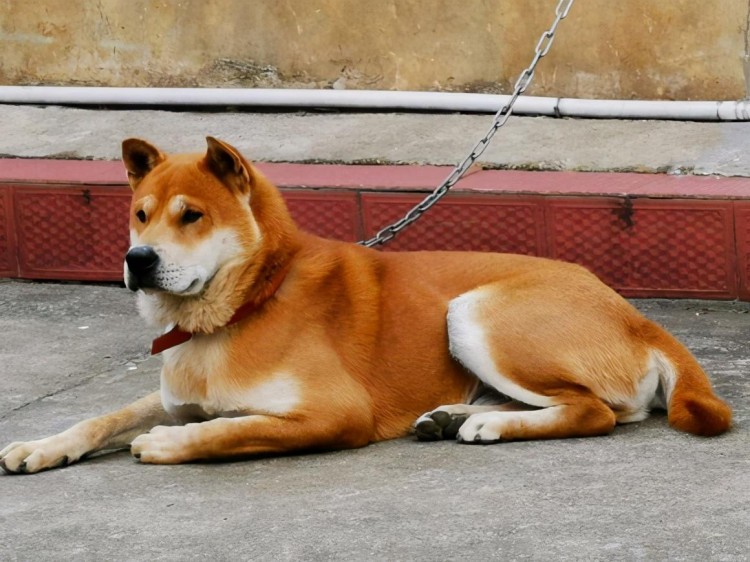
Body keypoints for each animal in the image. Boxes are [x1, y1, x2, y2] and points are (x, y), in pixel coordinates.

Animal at [0, 137, 732, 472]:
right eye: (140, 215)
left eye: (191, 216)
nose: (138, 260)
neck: (248, 301)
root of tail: (636, 313)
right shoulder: (175, 392)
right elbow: (102, 415)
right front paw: (41, 445)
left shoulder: (332, 413)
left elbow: (229, 431)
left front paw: (168, 443)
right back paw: (453, 416)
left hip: (473, 313)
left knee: (595, 411)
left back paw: (488, 425)